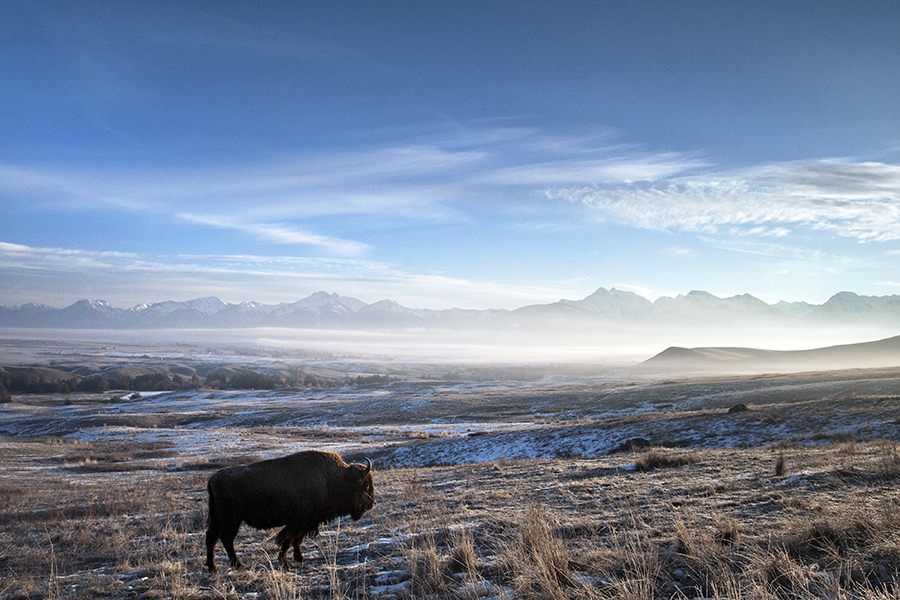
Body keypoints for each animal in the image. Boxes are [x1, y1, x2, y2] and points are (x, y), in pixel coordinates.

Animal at [205, 450, 374, 571]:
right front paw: (285, 562)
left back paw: (213, 567)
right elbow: (288, 540)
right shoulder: (298, 523)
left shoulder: (304, 523)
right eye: (365, 485)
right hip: (231, 520)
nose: (371, 504)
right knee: (226, 539)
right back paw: (237, 564)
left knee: (212, 538)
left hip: (219, 519)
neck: (334, 478)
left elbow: (296, 540)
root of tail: (213, 478)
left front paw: (299, 558)